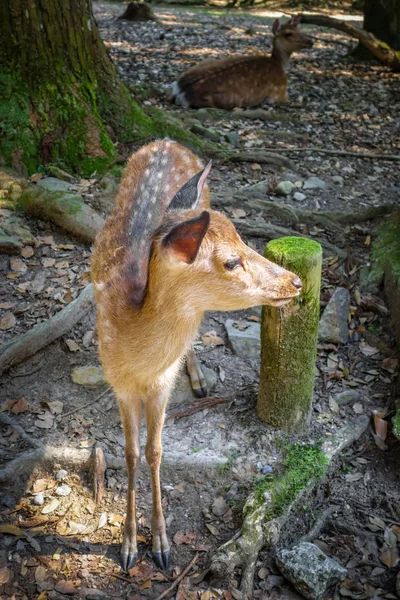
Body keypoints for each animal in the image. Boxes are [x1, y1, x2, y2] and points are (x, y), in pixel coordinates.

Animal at [90, 138, 302, 576]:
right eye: (231, 261)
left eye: (244, 240)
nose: (296, 281)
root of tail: (166, 141)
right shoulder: (117, 382)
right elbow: (131, 453)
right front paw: (129, 546)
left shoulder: (161, 385)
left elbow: (155, 451)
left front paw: (161, 545)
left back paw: (200, 378)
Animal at [171, 14, 312, 110]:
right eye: (288, 34)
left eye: (300, 30)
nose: (311, 41)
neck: (280, 64)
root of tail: (181, 90)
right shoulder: (278, 93)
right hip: (228, 100)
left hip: (203, 62)